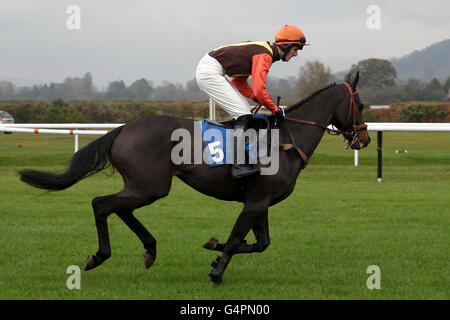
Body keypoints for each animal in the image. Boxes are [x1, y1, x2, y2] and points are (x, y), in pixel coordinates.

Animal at [18, 72, 370, 282]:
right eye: (362, 104)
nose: (364, 139)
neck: (286, 140)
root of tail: (122, 129)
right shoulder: (256, 202)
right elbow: (239, 239)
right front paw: (217, 271)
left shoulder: (259, 202)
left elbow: (259, 243)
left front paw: (214, 249)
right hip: (150, 186)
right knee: (101, 204)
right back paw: (100, 256)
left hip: (144, 186)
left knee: (119, 208)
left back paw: (150, 249)